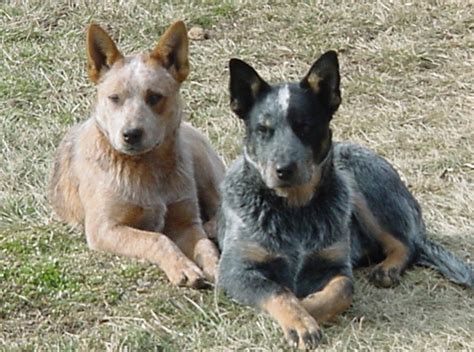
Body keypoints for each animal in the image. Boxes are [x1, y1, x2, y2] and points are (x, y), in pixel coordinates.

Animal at [217, 50, 472, 350]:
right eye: (263, 129)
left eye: (305, 126)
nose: (284, 169)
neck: (294, 210)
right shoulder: (235, 270)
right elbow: (278, 290)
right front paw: (301, 321)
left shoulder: (336, 264)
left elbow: (344, 288)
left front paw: (309, 310)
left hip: (361, 185)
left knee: (407, 244)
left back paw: (388, 269)